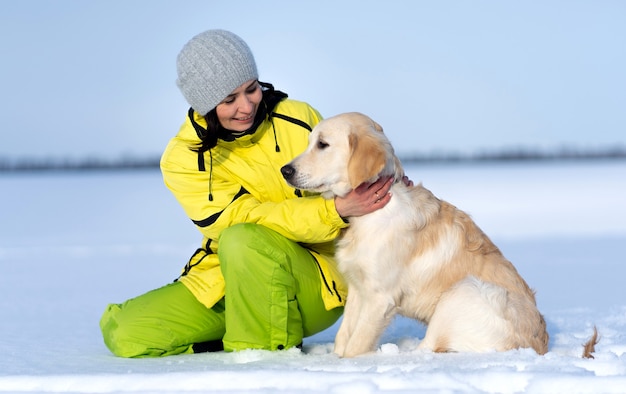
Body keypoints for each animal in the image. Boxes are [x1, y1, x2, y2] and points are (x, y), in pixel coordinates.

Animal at [280, 111, 544, 358]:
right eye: (310, 142)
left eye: (322, 144)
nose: (285, 170)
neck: (366, 218)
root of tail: (539, 344)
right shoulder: (358, 287)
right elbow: (343, 337)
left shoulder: (380, 297)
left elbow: (355, 346)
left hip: (467, 290)